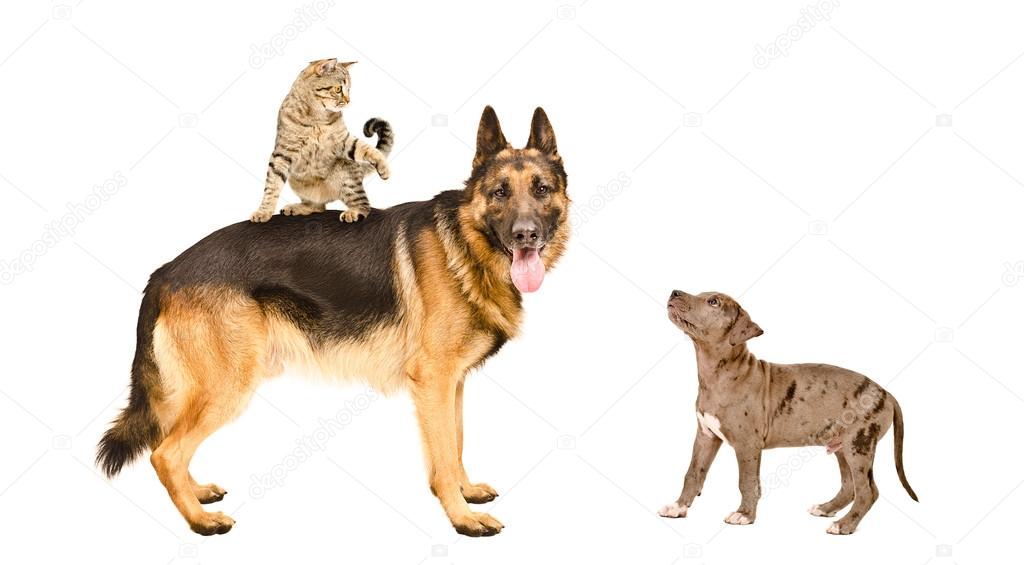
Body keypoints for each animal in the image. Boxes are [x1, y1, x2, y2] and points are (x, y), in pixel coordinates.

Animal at [97, 106, 569, 540]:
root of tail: (166, 271)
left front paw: (465, 493)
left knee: (169, 443)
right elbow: (445, 454)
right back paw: (200, 521)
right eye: (500, 192)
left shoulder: (452, 384)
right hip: (227, 385)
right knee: (165, 453)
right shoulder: (433, 381)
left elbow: (455, 444)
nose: (526, 235)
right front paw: (462, 518)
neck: (467, 246)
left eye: (542, 189)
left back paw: (197, 494)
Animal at [249, 57, 393, 223]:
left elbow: (367, 148)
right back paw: (297, 208)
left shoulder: (343, 140)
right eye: (338, 89)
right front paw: (264, 211)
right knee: (318, 206)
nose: (348, 100)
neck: (316, 117)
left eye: (349, 89)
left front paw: (384, 166)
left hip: (346, 175)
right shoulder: (282, 153)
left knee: (363, 204)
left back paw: (354, 212)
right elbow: (272, 186)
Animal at [659, 290, 917, 532]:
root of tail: (886, 393)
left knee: (867, 491)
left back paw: (844, 525)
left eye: (713, 302)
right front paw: (678, 506)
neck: (718, 374)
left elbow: (747, 481)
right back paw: (826, 509)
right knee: (849, 486)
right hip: (842, 446)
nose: (675, 292)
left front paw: (744, 514)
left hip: (859, 445)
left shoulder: (747, 445)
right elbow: (693, 473)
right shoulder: (706, 436)